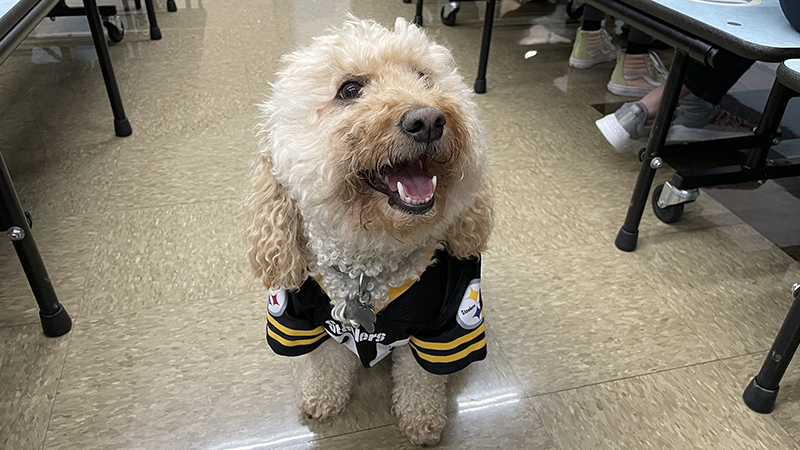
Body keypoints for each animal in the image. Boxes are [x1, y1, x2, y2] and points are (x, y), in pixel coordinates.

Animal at [245, 15, 494, 444]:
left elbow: (421, 380)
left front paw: (421, 421)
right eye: (350, 90)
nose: (428, 120)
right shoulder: (297, 316)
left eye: (424, 78)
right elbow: (326, 363)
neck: (367, 267)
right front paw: (322, 398)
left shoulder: (447, 325)